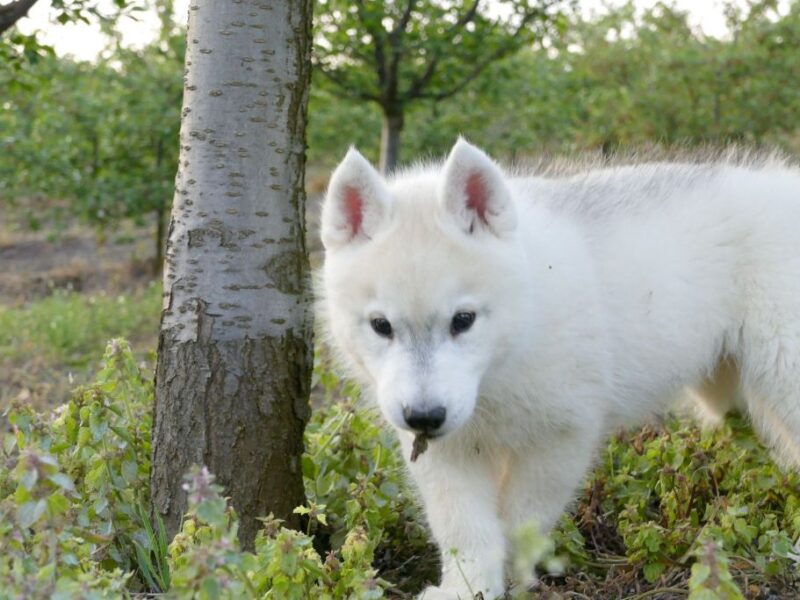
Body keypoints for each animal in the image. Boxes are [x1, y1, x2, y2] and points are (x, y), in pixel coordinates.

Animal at [318, 138, 800, 596]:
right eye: (381, 326)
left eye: (463, 320)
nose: (424, 416)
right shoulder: (448, 452)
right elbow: (464, 528)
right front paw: (469, 587)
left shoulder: (560, 439)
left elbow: (520, 522)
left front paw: (517, 581)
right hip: (723, 388)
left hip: (784, 372)